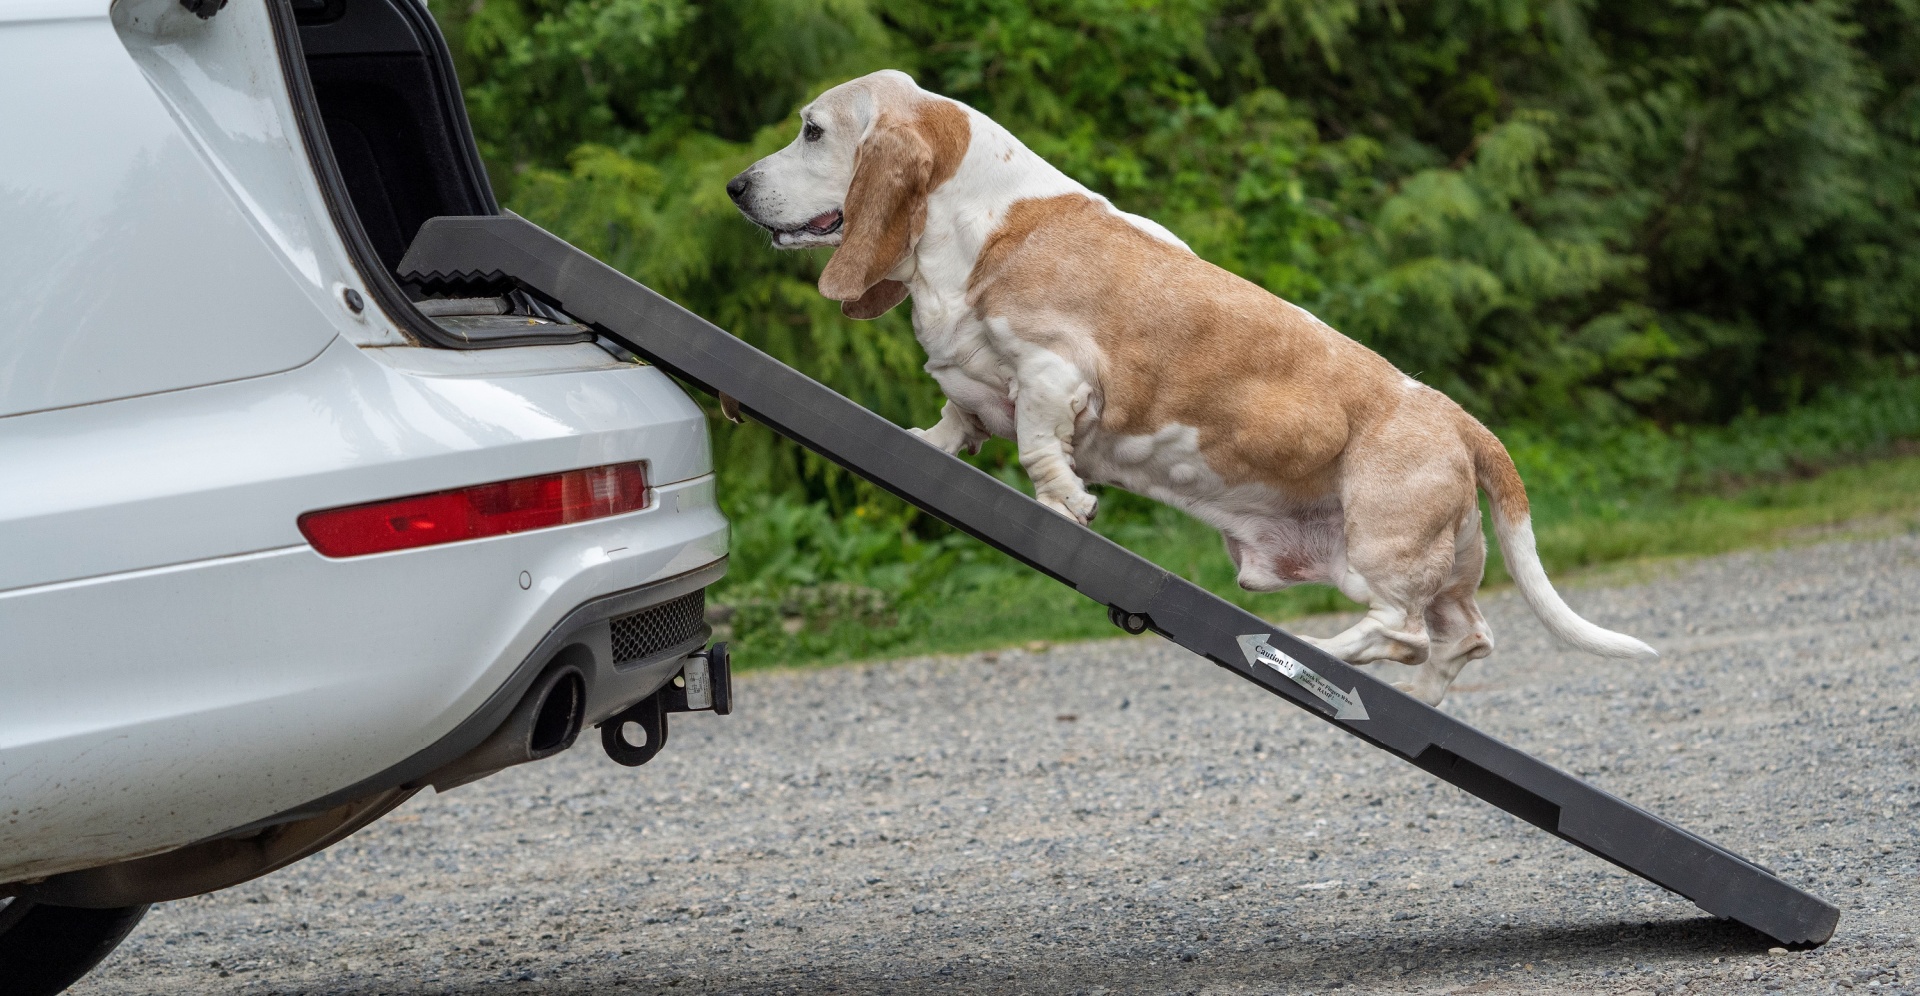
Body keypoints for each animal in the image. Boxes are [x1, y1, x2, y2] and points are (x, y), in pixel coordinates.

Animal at [725, 68, 1658, 702]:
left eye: (813, 132)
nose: (735, 187)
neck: (978, 218)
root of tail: (1461, 420)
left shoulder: (1055, 372)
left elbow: (1035, 444)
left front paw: (1066, 500)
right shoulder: (977, 381)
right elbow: (960, 420)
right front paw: (928, 445)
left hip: (1381, 545)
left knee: (1401, 629)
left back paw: (1331, 653)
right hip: (1442, 565)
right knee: (1462, 638)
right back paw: (1420, 691)